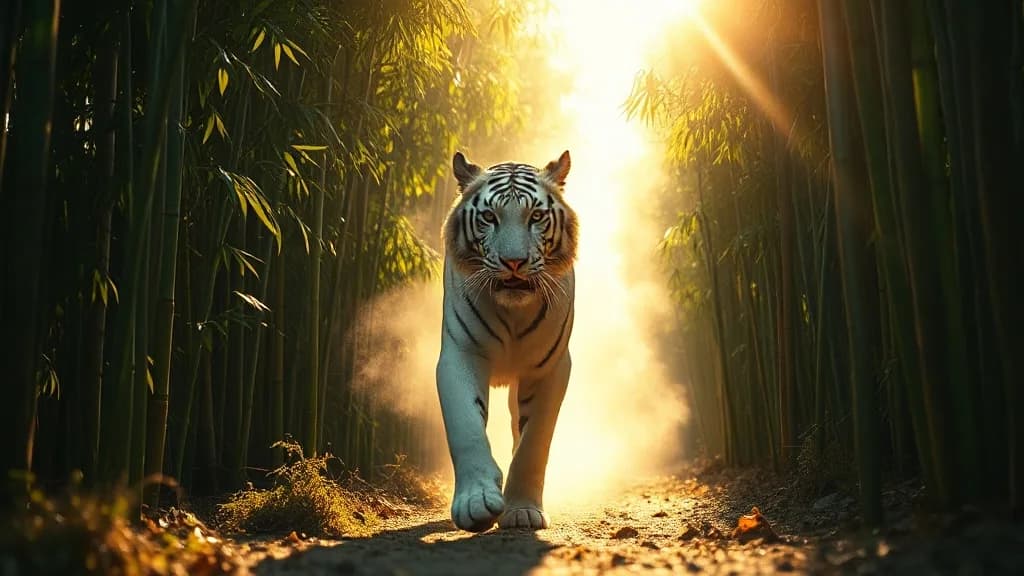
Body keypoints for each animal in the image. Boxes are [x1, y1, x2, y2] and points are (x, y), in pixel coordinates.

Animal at [436, 150, 577, 532]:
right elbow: (466, 427)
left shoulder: (549, 367)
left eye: (536, 217)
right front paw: (476, 503)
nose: (514, 262)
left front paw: (523, 511)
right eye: (489, 217)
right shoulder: (461, 353)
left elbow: (534, 443)